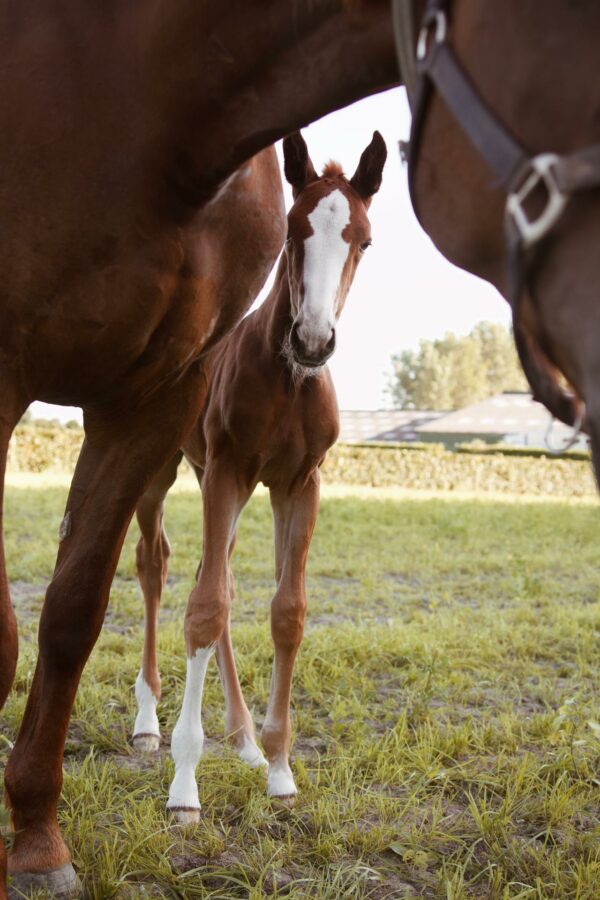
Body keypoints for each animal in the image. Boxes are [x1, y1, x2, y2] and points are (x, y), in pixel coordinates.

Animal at [132, 132, 386, 816]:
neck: (289, 383)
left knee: (207, 569)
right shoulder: (228, 470)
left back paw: (244, 737)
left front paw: (278, 765)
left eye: (363, 240)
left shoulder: (298, 484)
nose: (313, 340)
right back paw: (148, 721)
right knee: (157, 566)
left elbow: (285, 610)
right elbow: (206, 608)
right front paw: (184, 785)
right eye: (293, 230)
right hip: (164, 469)